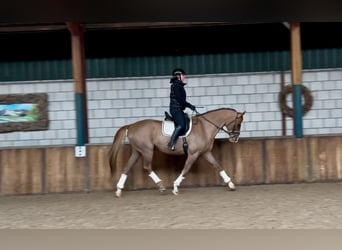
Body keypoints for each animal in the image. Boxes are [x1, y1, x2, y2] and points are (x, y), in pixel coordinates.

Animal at [108, 107, 244, 197]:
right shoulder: (193, 154)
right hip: (147, 150)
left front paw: (231, 184)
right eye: (238, 123)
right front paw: (175, 187)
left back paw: (119, 190)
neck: (204, 127)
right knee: (147, 166)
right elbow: (186, 169)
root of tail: (131, 126)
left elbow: (217, 165)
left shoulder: (205, 152)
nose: (235, 139)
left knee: (127, 167)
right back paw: (161, 186)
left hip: (137, 151)